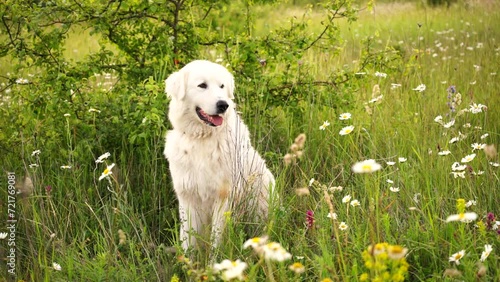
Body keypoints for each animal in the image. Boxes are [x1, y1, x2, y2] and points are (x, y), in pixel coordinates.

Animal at [163, 60, 274, 251]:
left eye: (222, 86)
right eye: (202, 85)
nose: (223, 105)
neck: (202, 139)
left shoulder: (224, 198)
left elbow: (217, 239)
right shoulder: (188, 198)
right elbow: (188, 240)